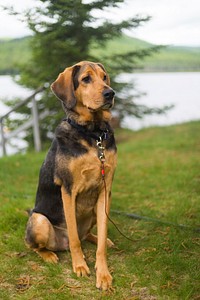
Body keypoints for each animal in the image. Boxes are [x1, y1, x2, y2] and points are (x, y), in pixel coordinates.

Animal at [25, 60, 118, 290]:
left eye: (104, 77)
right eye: (86, 79)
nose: (110, 93)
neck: (93, 134)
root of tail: (61, 244)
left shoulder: (105, 191)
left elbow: (101, 239)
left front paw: (103, 274)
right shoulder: (68, 190)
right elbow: (75, 239)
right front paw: (80, 266)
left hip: (94, 211)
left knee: (88, 235)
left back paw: (97, 239)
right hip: (39, 220)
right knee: (38, 246)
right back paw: (49, 255)